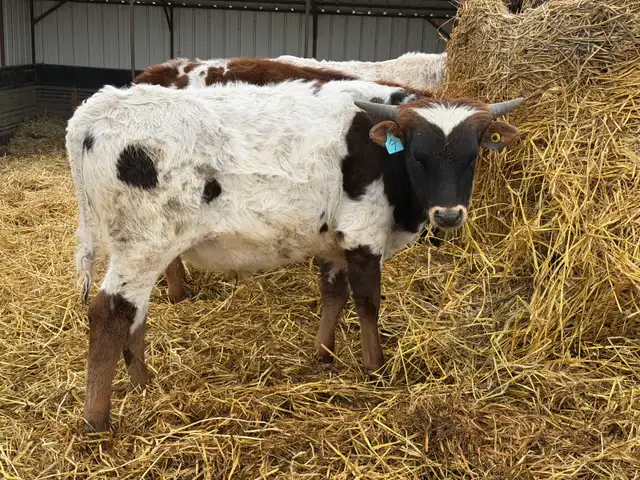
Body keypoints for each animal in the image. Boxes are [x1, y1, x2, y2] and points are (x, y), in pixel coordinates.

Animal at [66, 78, 524, 433]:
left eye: (473, 154)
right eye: (417, 154)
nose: (448, 214)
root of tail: (100, 107)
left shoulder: (336, 244)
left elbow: (333, 294)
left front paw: (323, 355)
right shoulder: (363, 237)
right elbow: (368, 303)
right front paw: (375, 368)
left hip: (144, 251)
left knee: (135, 314)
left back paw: (143, 385)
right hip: (143, 245)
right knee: (110, 313)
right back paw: (97, 421)